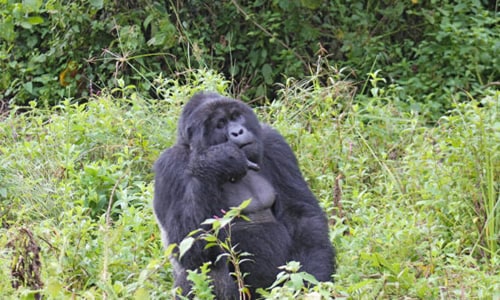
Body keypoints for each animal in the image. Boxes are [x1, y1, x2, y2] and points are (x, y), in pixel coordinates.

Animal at [150, 91, 334, 298]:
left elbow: (303, 217)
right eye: (220, 124)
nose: (237, 132)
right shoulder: (169, 164)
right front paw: (219, 159)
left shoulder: (275, 143)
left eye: (235, 117)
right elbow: (188, 245)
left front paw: (311, 283)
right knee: (208, 265)